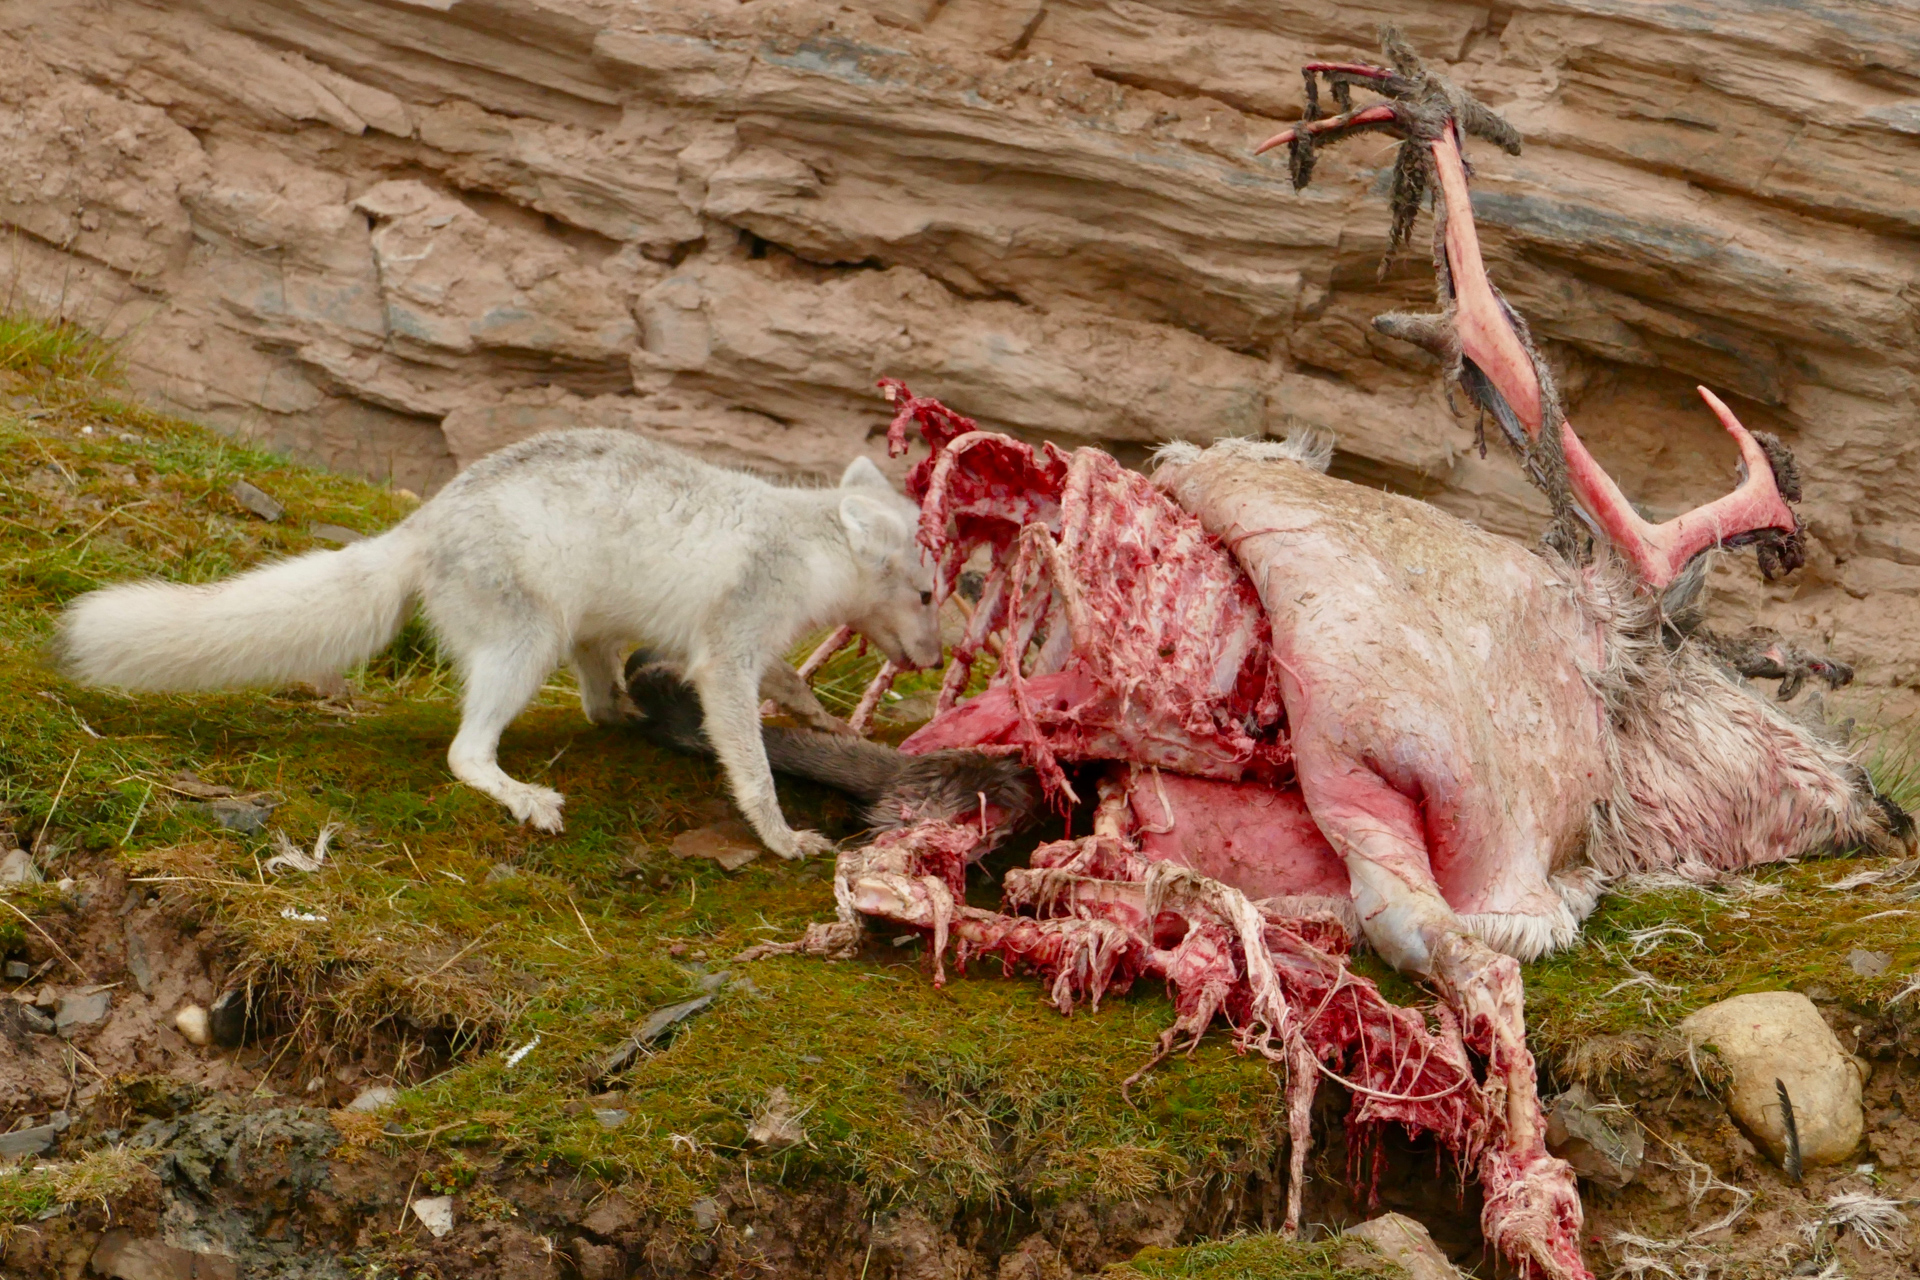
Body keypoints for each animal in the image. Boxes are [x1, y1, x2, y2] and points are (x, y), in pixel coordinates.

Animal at [63, 433, 948, 859]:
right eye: (931, 594)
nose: (937, 660)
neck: (806, 542)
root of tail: (421, 528)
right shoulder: (729, 646)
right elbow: (752, 761)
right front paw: (781, 835)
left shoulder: (749, 648)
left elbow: (789, 686)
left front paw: (825, 721)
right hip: (528, 639)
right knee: (465, 752)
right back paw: (522, 794)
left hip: (582, 629)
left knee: (596, 702)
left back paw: (629, 716)